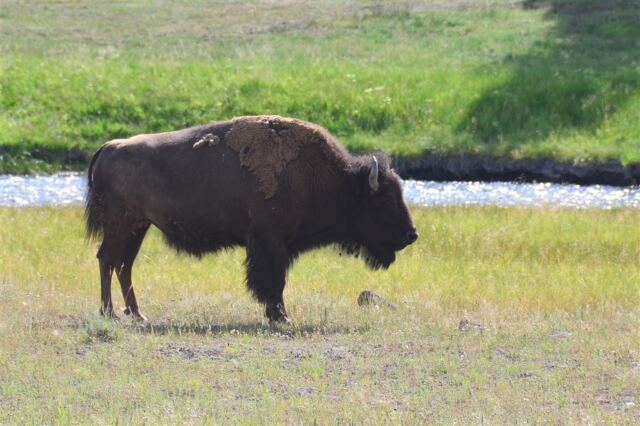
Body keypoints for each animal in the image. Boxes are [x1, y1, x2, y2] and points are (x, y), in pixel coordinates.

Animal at [85, 115, 417, 323]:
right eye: (385, 199)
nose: (411, 234)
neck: (335, 181)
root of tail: (109, 147)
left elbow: (276, 281)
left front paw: (277, 315)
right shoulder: (269, 242)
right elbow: (273, 281)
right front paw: (282, 317)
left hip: (138, 227)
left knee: (123, 265)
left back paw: (137, 314)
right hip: (120, 224)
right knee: (107, 260)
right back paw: (109, 312)